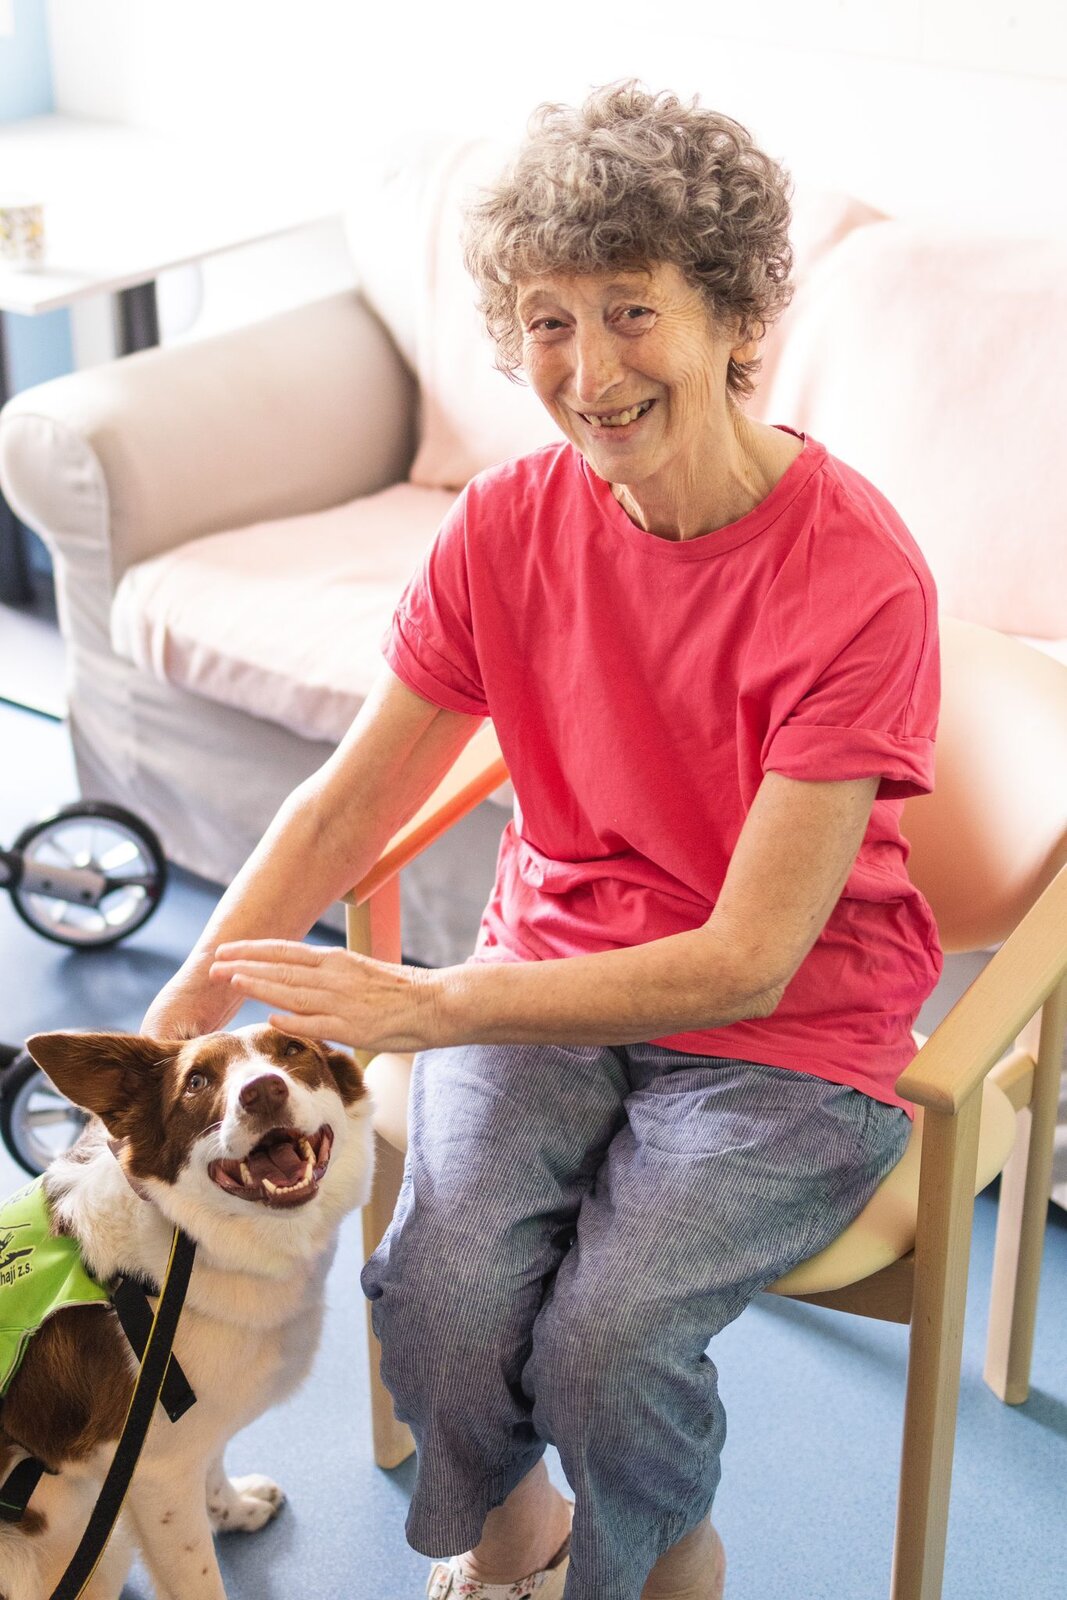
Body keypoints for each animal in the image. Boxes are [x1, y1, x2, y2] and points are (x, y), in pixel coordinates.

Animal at [0, 1023, 374, 1600]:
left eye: (292, 1050)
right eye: (197, 1082)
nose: (262, 1091)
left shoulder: (194, 1428)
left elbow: (213, 1463)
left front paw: (234, 1509)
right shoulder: (155, 1478)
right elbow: (199, 1579)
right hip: (92, 1544)